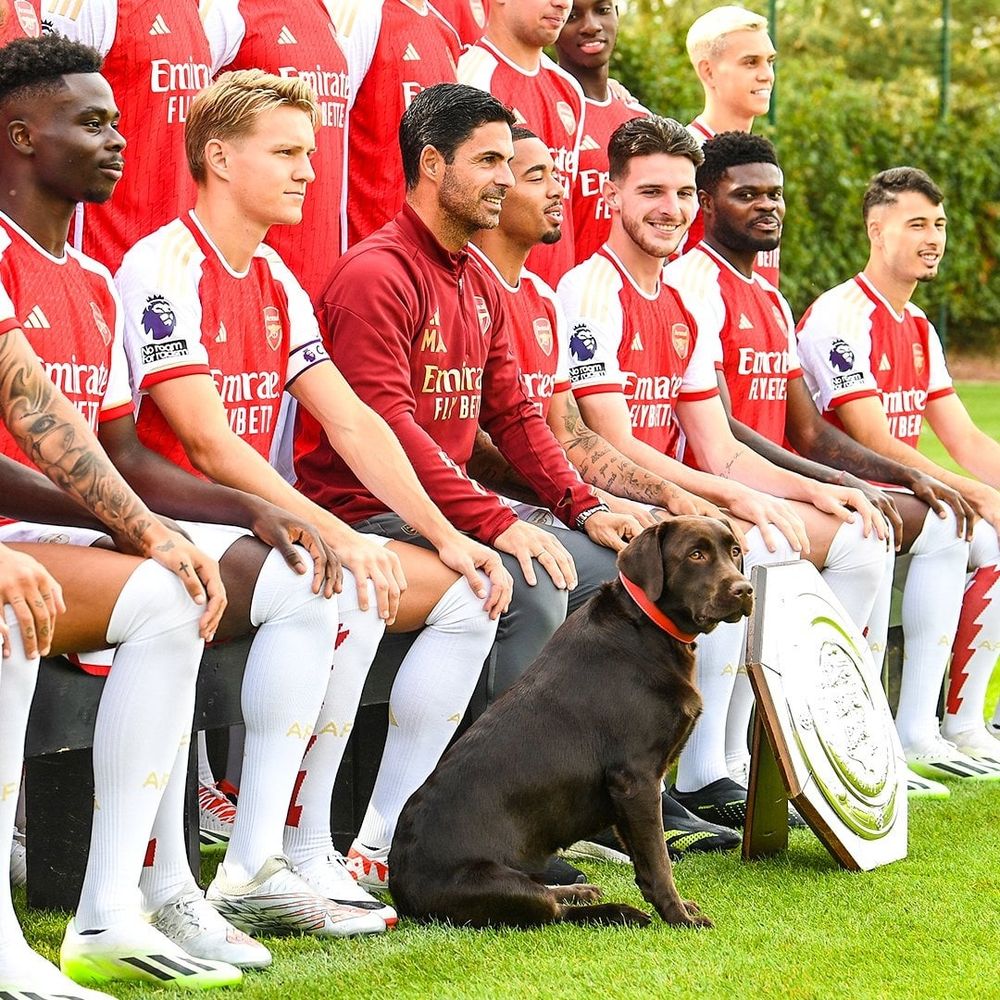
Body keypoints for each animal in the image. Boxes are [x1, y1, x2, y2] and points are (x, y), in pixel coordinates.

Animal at [389, 516, 753, 929]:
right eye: (696, 555)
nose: (744, 589)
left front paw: (678, 910)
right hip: (493, 883)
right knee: (551, 912)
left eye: (734, 551)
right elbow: (659, 861)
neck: (646, 628)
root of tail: (399, 886)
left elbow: (646, 865)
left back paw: (580, 891)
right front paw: (679, 917)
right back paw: (616, 911)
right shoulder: (636, 779)